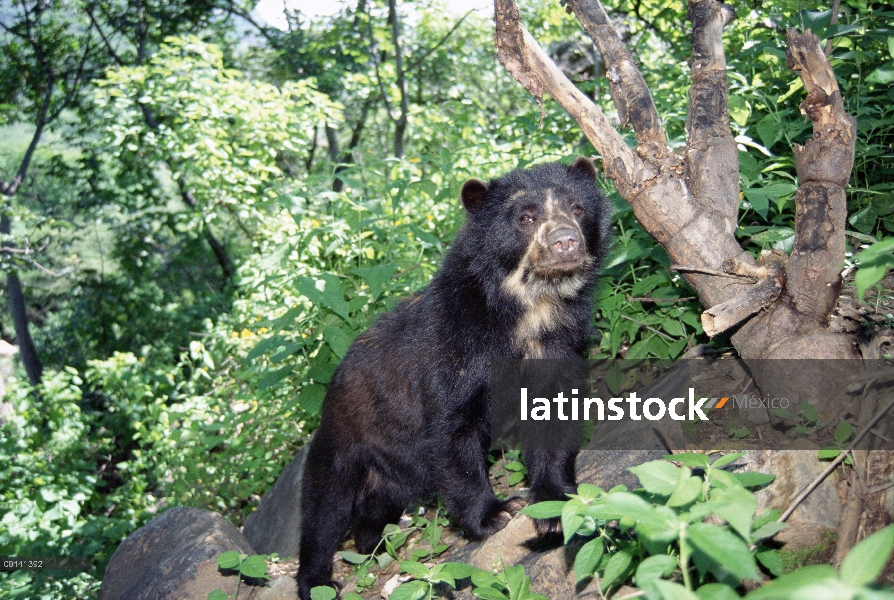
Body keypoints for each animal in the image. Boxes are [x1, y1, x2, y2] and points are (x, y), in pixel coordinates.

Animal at [298, 157, 612, 596]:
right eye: (526, 217)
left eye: (578, 208)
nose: (565, 241)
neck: (529, 309)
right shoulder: (453, 351)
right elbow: (452, 432)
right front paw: (495, 514)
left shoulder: (558, 347)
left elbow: (553, 416)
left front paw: (551, 507)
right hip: (346, 439)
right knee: (325, 509)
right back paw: (317, 580)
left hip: (390, 475)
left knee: (375, 507)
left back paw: (375, 542)